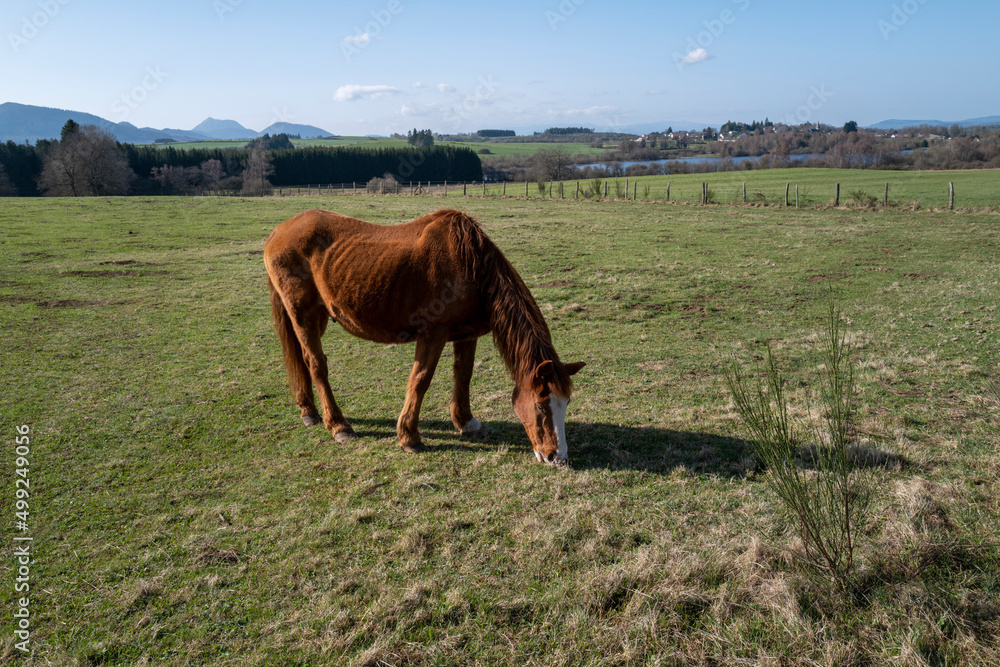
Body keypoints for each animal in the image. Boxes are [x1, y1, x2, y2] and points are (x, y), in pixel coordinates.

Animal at [264, 208, 585, 464]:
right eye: (541, 405)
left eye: (565, 403)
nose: (557, 457)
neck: (469, 263)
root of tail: (278, 232)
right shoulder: (432, 334)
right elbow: (420, 380)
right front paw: (409, 437)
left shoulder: (466, 334)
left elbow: (463, 375)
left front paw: (466, 423)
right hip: (302, 314)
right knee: (316, 363)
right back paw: (338, 426)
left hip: (317, 317)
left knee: (302, 360)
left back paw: (308, 410)